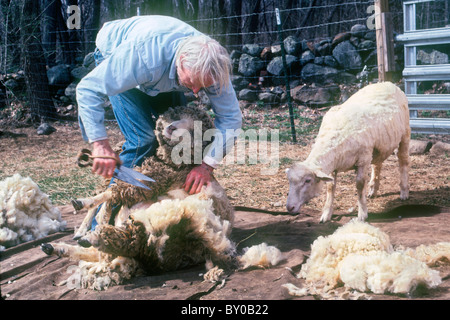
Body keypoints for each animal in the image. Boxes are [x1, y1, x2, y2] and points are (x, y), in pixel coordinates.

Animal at [286, 82, 410, 222]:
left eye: (307, 181)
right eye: (289, 181)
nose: (289, 207)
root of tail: (388, 83)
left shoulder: (363, 159)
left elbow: (360, 185)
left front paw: (362, 214)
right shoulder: (333, 165)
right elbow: (330, 187)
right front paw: (326, 214)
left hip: (405, 132)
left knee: (403, 160)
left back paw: (404, 192)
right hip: (379, 145)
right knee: (377, 164)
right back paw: (373, 189)